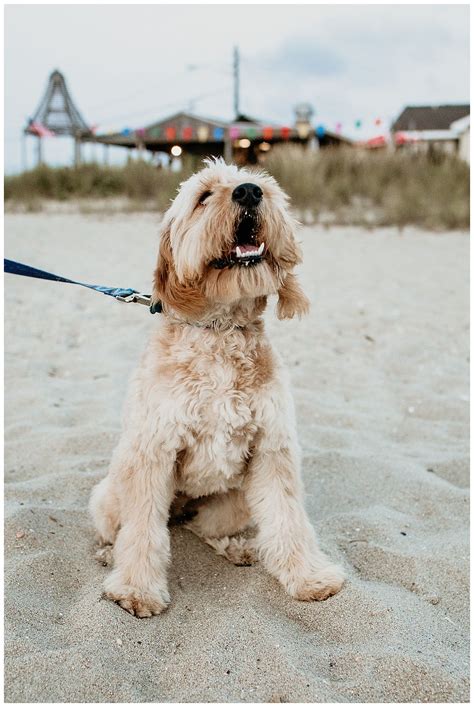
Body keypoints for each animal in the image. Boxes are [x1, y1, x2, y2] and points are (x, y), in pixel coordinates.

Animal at [89, 160, 344, 620]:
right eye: (204, 196)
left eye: (262, 186)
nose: (248, 192)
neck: (221, 330)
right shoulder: (153, 450)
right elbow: (141, 530)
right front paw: (136, 589)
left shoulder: (272, 448)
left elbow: (288, 519)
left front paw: (309, 577)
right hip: (108, 493)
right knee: (123, 529)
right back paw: (107, 555)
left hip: (234, 503)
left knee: (201, 527)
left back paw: (236, 547)